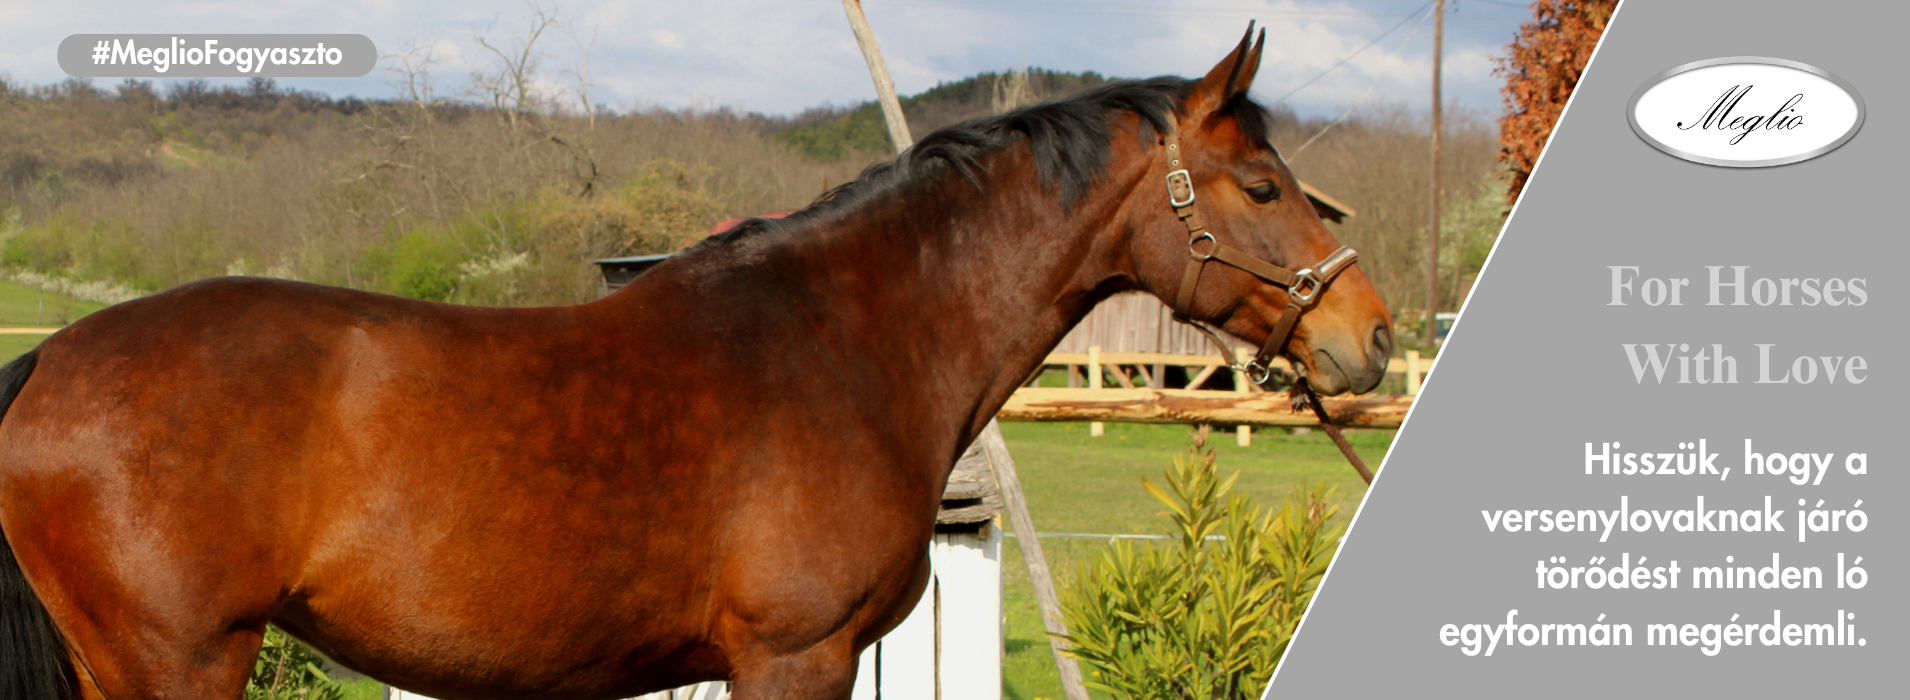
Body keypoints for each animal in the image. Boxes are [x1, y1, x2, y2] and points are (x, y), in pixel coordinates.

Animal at [0, 28, 1392, 700]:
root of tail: (51, 364)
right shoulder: (795, 656)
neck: (852, 341)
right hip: (180, 661)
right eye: (1261, 185)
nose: (1369, 334)